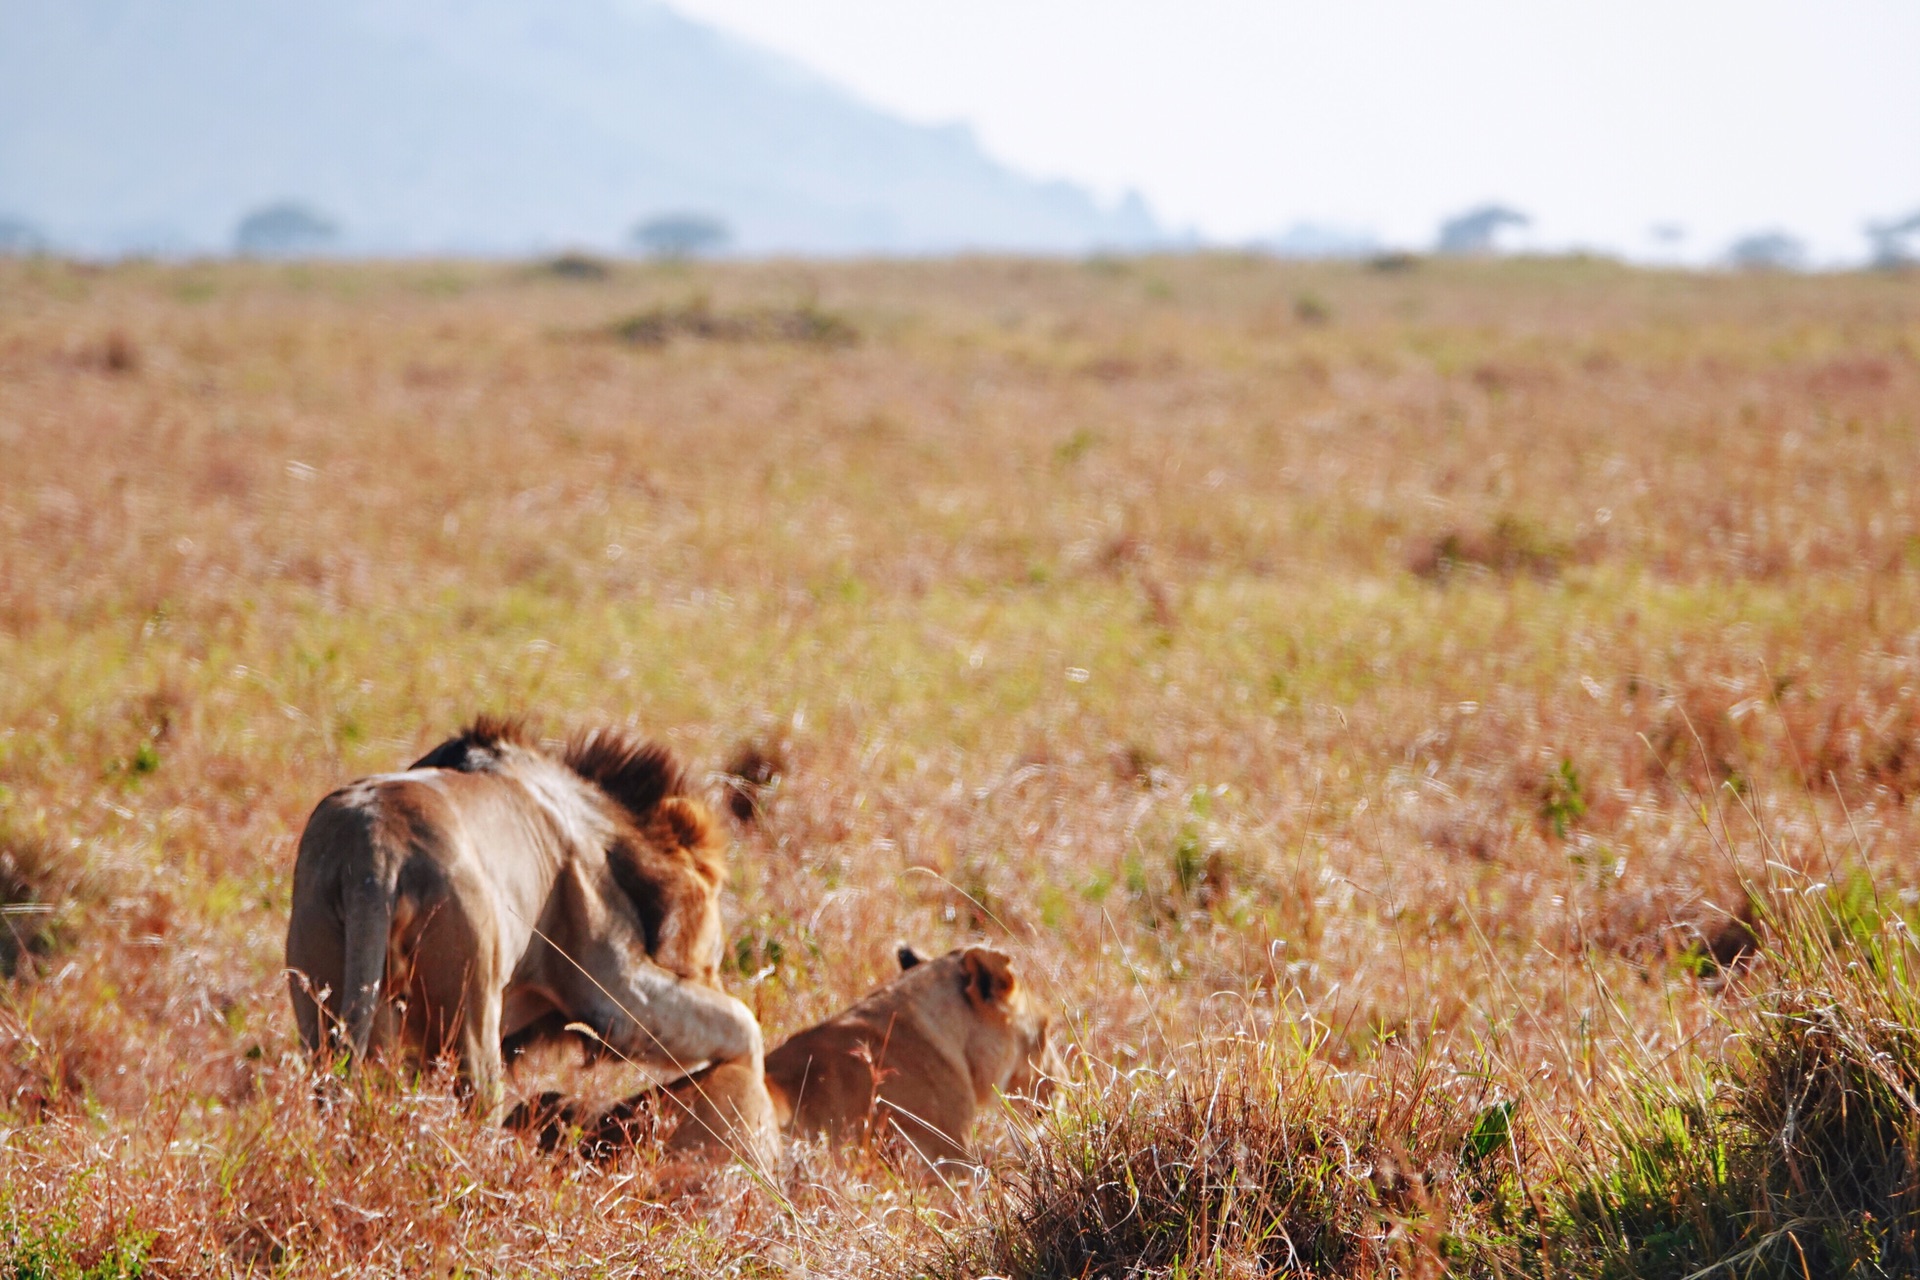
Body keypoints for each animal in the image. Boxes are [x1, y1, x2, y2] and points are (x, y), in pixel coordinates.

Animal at [282, 717, 771, 1166]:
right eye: (714, 955)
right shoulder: (614, 986)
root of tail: (375, 850)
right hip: (468, 1006)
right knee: (478, 1107)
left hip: (326, 994)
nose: (711, 974)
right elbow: (745, 1026)